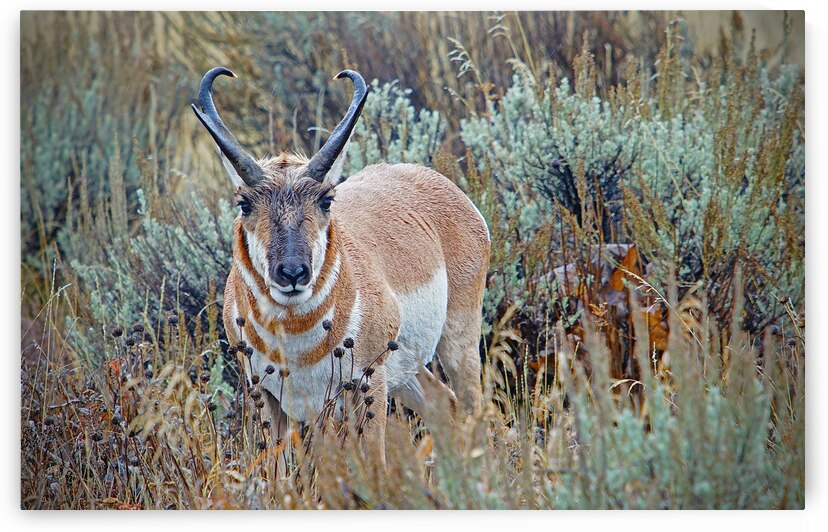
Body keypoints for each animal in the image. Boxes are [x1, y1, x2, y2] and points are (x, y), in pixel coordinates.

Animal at [192, 66, 490, 466]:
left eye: (326, 199)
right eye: (244, 204)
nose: (292, 273)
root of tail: (432, 179)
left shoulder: (368, 384)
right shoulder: (267, 398)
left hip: (456, 345)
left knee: (476, 409)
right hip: (407, 373)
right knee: (444, 405)